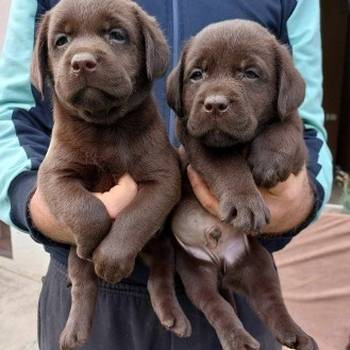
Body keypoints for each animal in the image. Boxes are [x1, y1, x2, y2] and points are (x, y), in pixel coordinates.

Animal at [167, 19, 318, 350]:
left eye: (250, 74)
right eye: (197, 75)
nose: (214, 104)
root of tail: (224, 266)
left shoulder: (294, 133)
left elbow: (286, 130)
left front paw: (268, 161)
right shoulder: (195, 138)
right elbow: (228, 168)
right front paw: (245, 204)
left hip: (258, 264)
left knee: (272, 302)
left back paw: (297, 335)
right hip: (195, 270)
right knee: (216, 306)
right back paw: (238, 339)